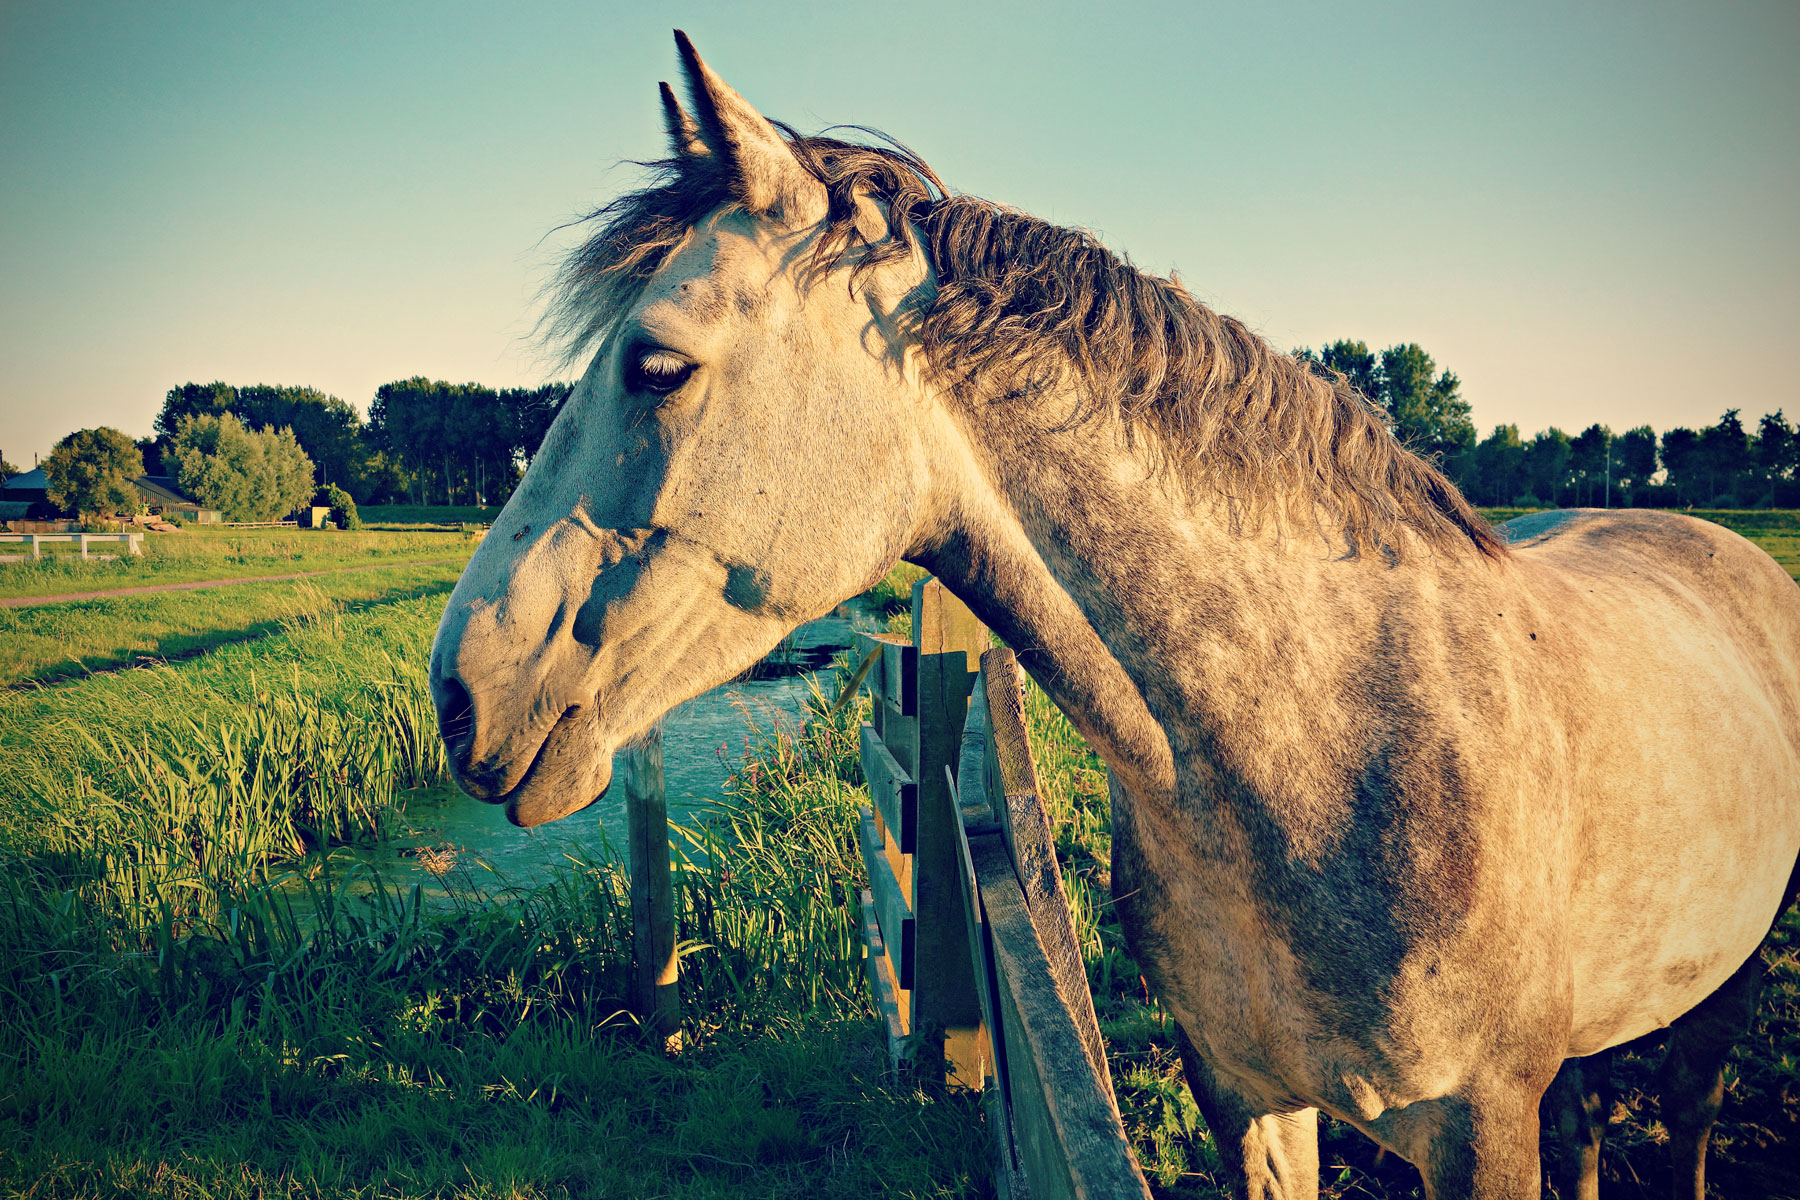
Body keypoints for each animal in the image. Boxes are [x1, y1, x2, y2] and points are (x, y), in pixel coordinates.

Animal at [428, 33, 1800, 1199]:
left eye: (657, 363)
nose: (457, 691)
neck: (1328, 747)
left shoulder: (1478, 1128)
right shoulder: (1243, 1094)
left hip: (1720, 989)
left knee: (1687, 1110)